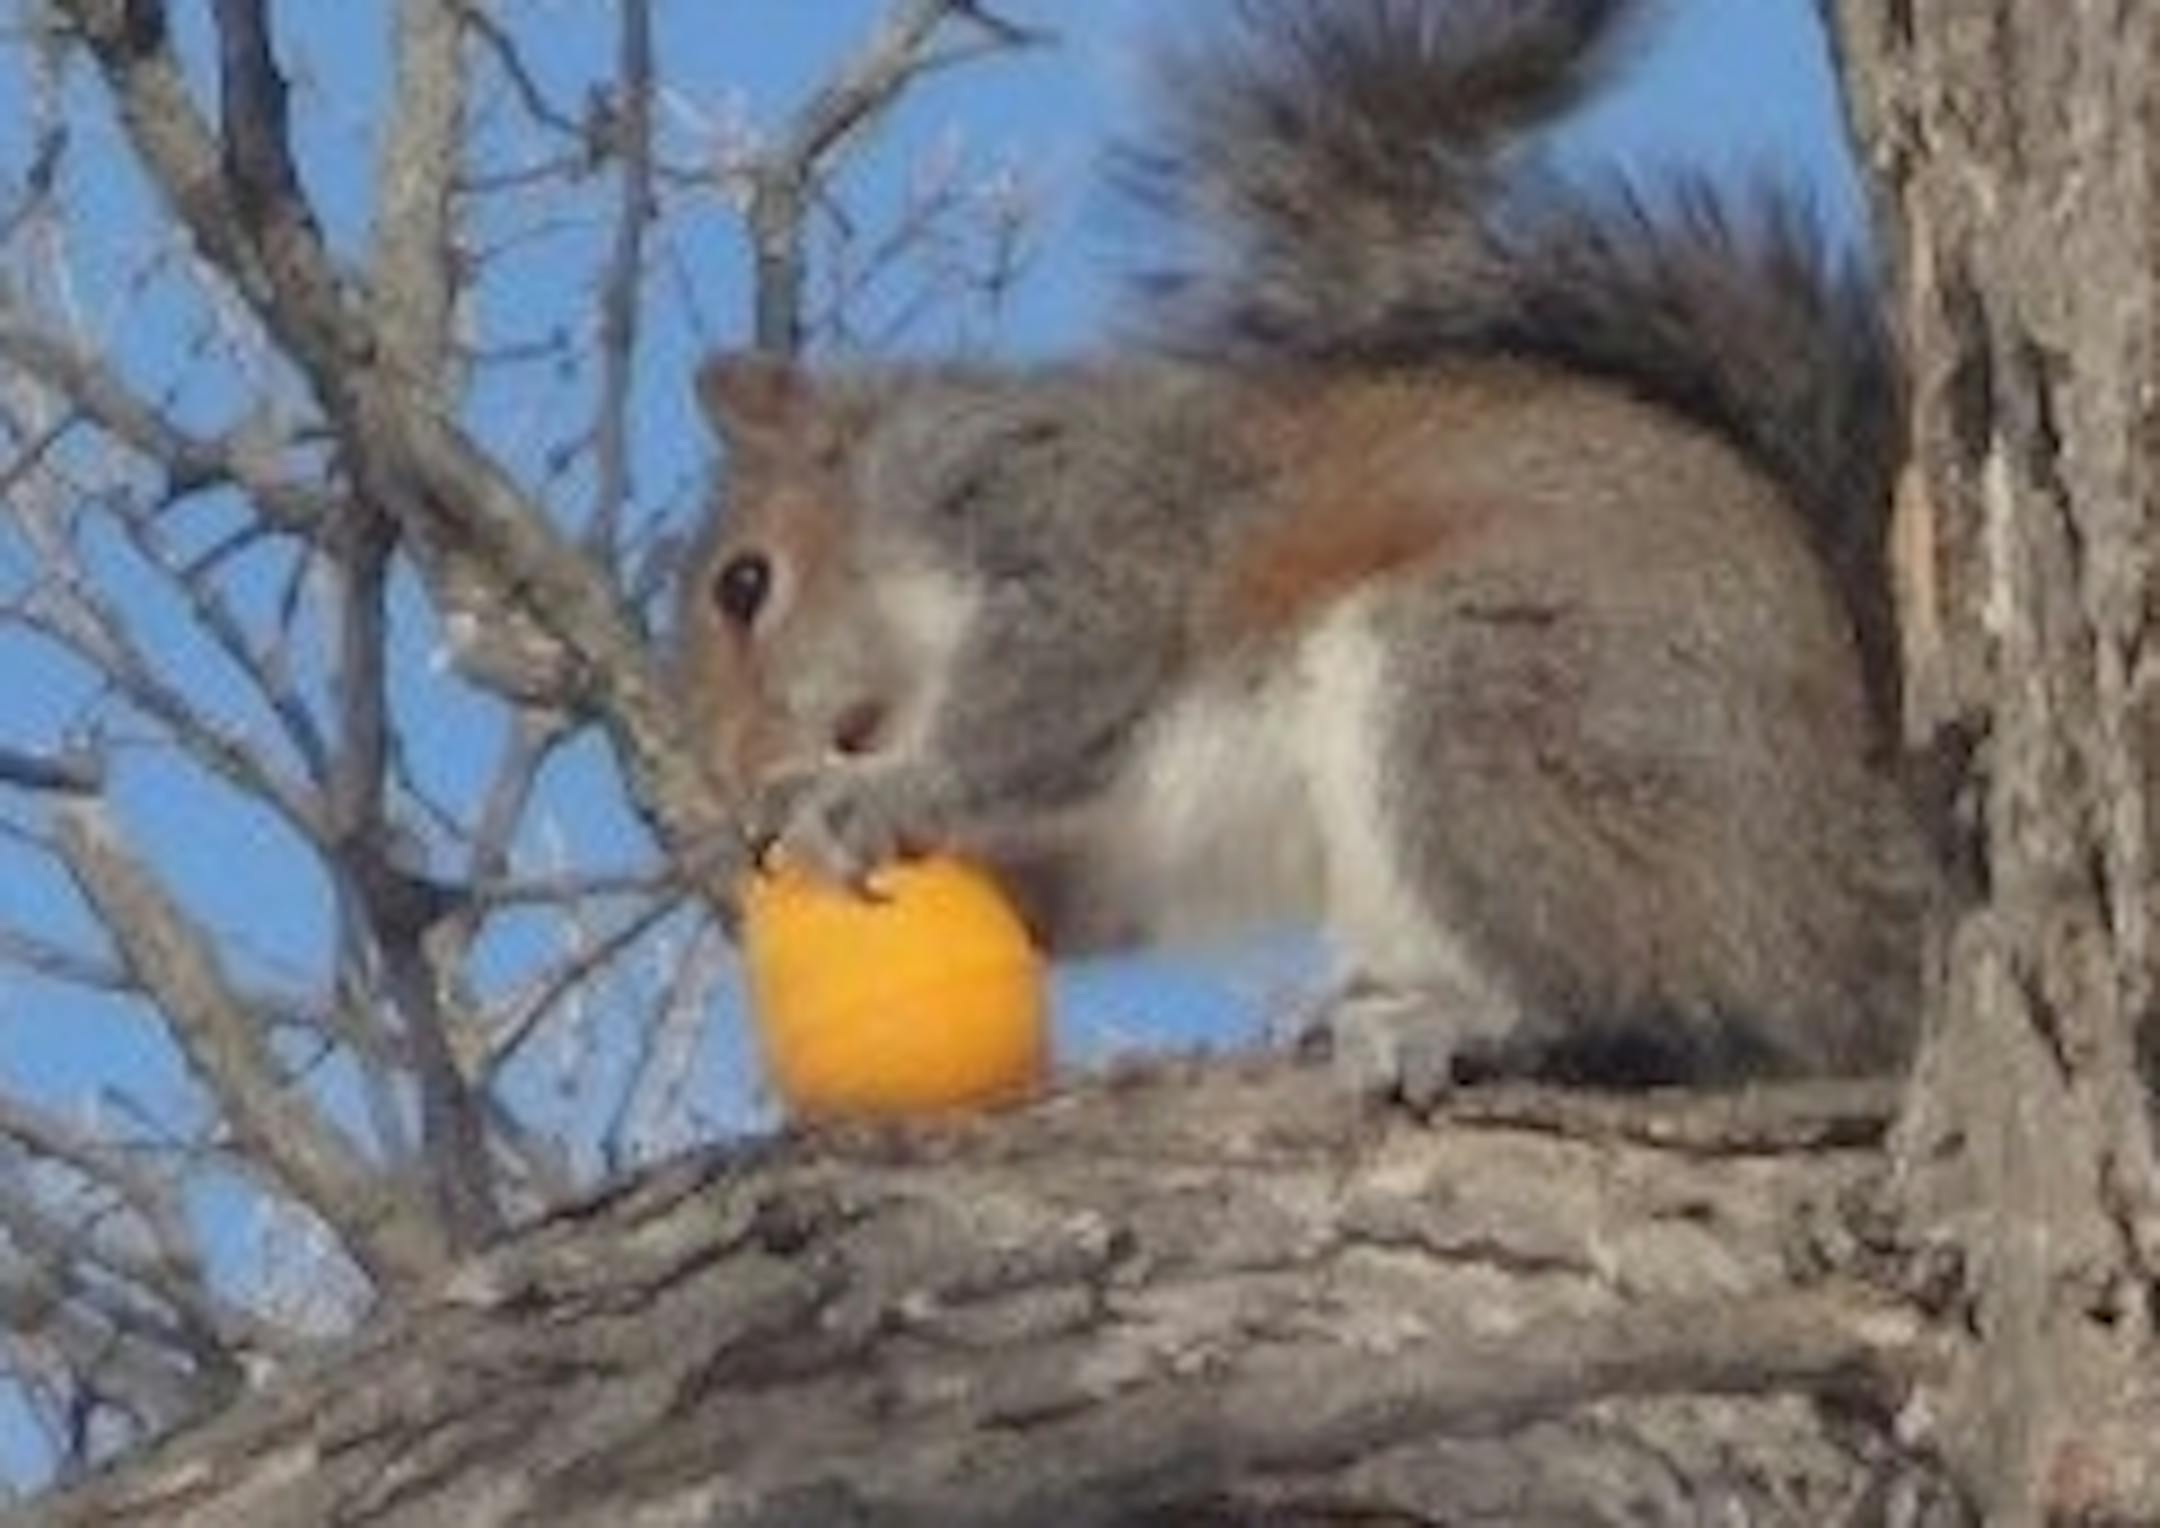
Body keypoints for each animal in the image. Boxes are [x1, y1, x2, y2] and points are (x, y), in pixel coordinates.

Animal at [676, 0, 1928, 1093]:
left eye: (745, 585)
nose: (737, 794)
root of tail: (1854, 887)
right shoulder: (1113, 849)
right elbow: (1073, 888)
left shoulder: (1092, 520)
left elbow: (1051, 690)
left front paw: (862, 793)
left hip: (1501, 695)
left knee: (1670, 997)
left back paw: (1465, 1023)